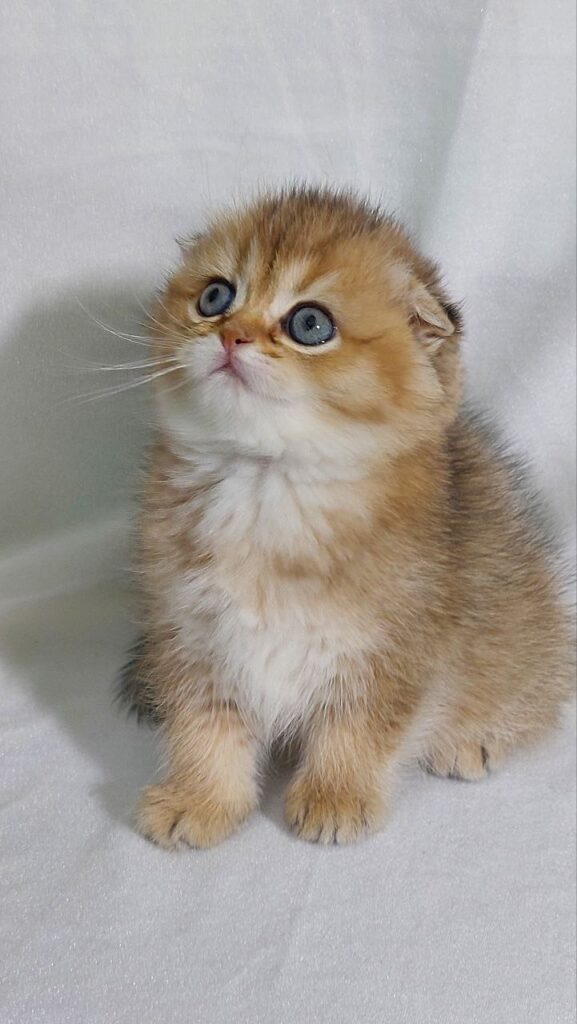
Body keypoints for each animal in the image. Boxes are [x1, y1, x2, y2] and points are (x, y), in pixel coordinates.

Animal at [119, 186, 573, 847]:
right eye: (215, 297)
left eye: (310, 324)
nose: (231, 336)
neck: (266, 486)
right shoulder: (190, 633)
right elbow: (204, 727)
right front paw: (200, 798)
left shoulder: (398, 649)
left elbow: (359, 728)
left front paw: (336, 796)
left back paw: (474, 739)